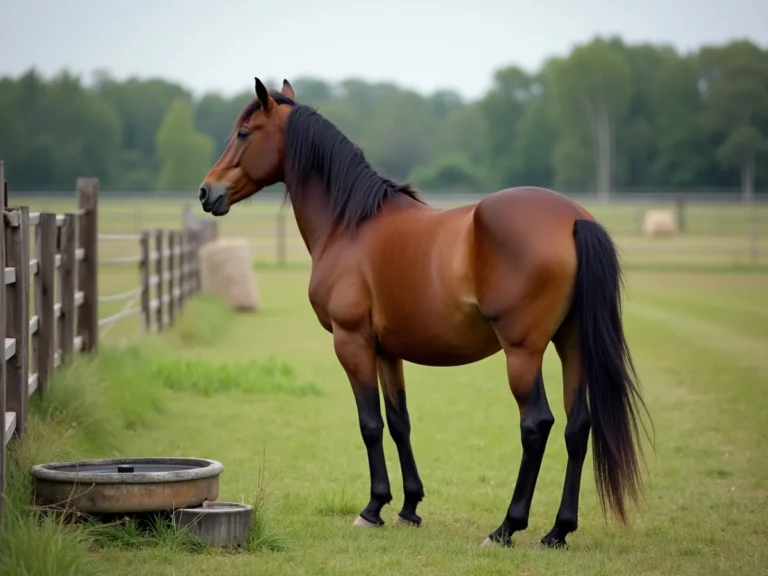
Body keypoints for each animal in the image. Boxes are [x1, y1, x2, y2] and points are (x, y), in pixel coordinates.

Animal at [198, 77, 652, 549]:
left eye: (243, 133)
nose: (206, 192)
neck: (350, 225)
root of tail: (573, 218)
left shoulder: (351, 341)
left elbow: (370, 423)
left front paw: (373, 508)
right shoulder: (386, 350)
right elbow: (400, 422)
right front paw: (408, 507)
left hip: (523, 352)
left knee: (536, 425)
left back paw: (507, 527)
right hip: (572, 342)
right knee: (577, 427)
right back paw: (558, 531)